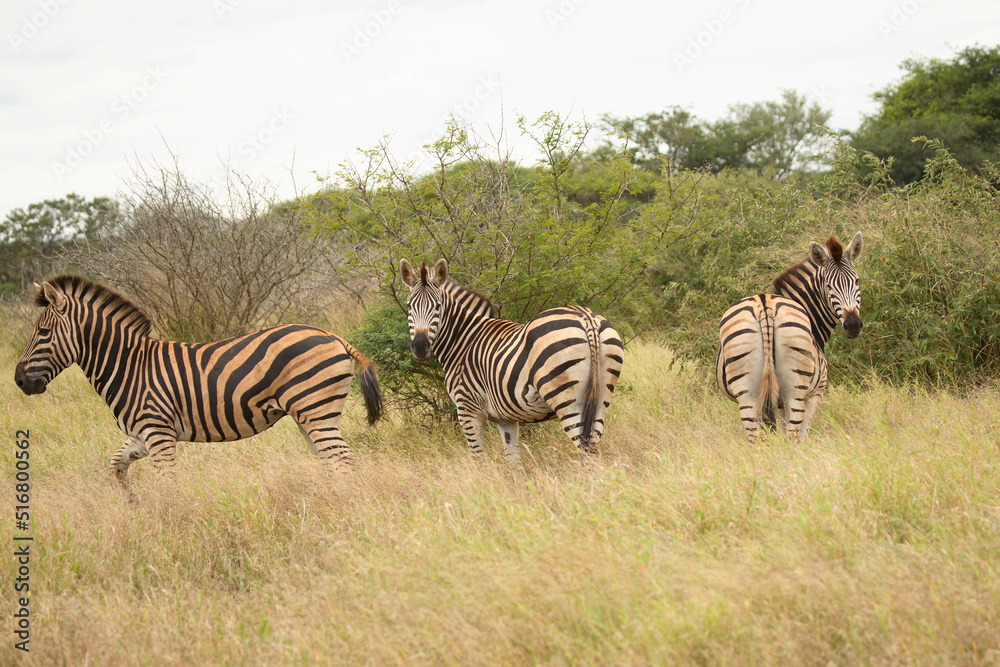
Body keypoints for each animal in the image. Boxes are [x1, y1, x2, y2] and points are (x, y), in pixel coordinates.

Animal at [13, 275, 383, 490]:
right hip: (310, 415)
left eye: (42, 332)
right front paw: (131, 507)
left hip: (316, 410)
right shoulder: (141, 435)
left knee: (342, 460)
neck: (128, 365)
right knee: (331, 461)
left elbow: (169, 485)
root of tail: (333, 335)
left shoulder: (158, 432)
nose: (18, 380)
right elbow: (117, 465)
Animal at [399, 258, 624, 465]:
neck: (463, 340)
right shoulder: (505, 418)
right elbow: (513, 461)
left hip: (567, 398)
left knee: (587, 453)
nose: (420, 347)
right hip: (601, 398)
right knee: (594, 449)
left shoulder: (468, 408)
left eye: (438, 306)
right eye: (409, 306)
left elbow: (477, 458)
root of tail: (586, 318)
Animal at [716, 232, 863, 441]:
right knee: (793, 438)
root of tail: (765, 306)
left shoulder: (774, 404)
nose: (852, 325)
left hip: (748, 394)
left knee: (756, 439)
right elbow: (802, 436)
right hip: (795, 391)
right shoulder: (815, 394)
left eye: (857, 281)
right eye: (828, 286)